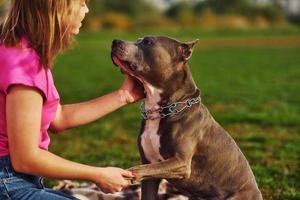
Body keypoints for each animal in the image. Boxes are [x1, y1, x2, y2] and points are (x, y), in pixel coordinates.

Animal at [110, 36, 262, 200]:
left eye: (148, 42)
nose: (115, 41)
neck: (162, 109)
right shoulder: (150, 170)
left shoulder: (181, 162)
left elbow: (139, 169)